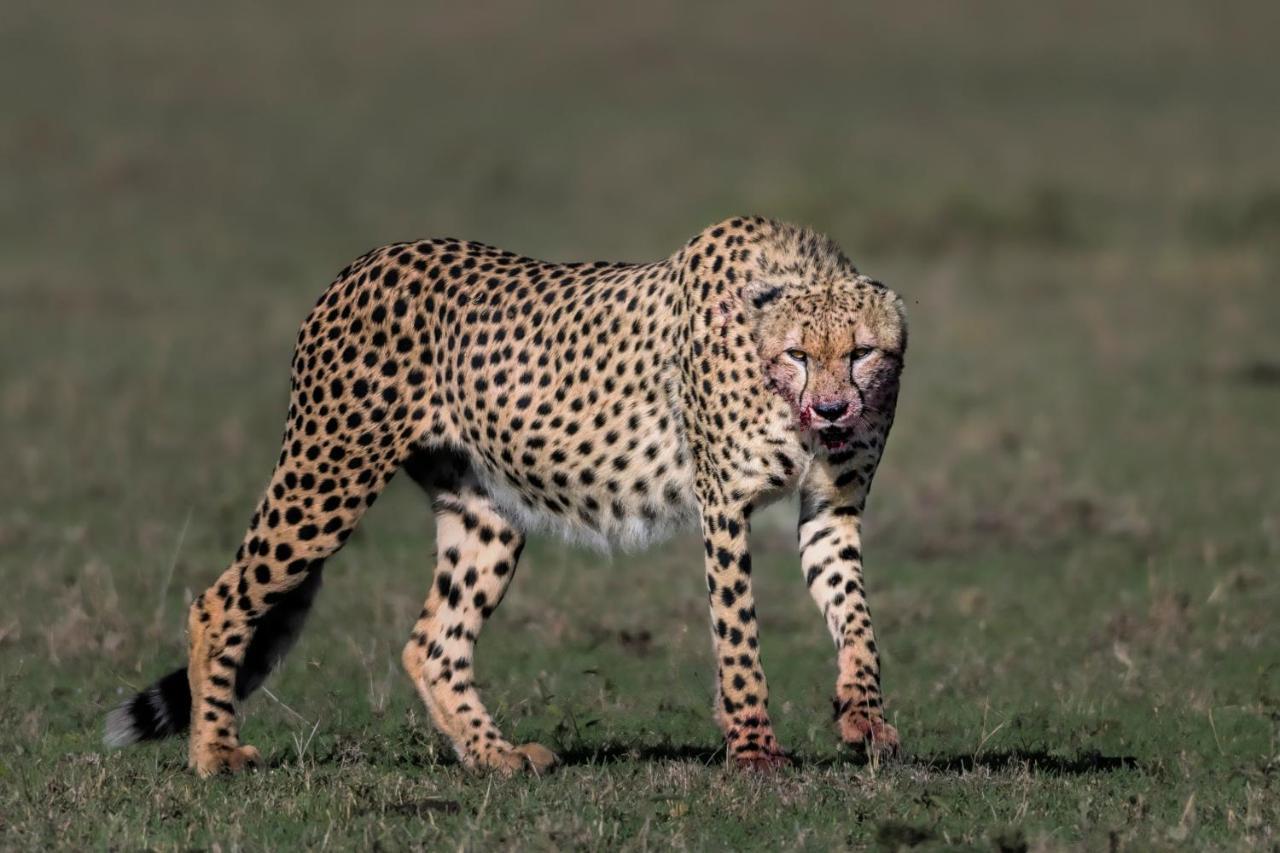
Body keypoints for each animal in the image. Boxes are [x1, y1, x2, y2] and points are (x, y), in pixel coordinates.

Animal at [107, 213, 911, 768]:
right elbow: (739, 635)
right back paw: (214, 753)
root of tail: (365, 260)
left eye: (862, 352)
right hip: (329, 473)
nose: (833, 410)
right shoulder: (725, 509)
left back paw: (496, 756)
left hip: (485, 509)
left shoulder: (833, 507)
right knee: (221, 600)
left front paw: (864, 716)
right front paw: (753, 750)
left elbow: (856, 614)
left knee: (432, 642)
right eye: (798, 354)